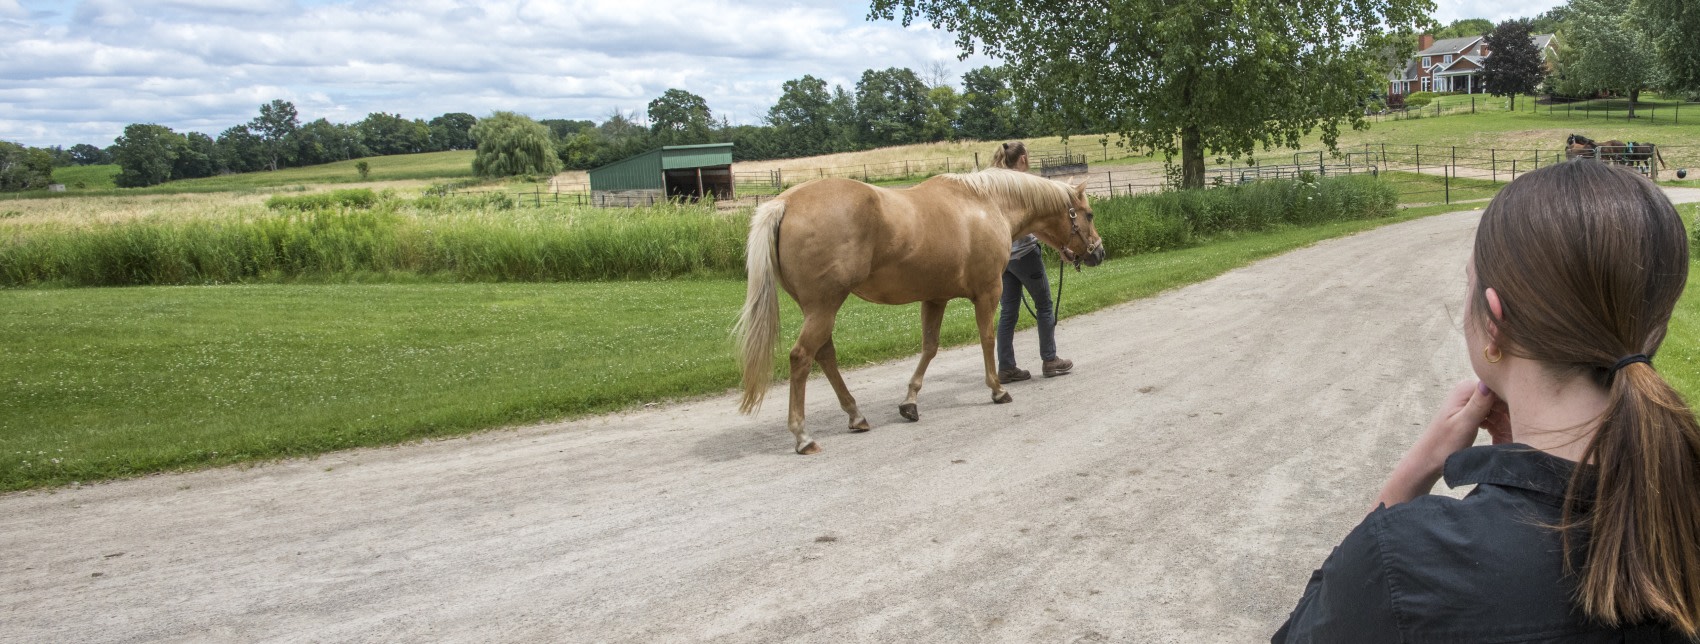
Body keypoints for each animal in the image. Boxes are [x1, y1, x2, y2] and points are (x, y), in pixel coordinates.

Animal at [734, 169, 1108, 455]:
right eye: (1088, 214)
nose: (1098, 253)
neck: (987, 205)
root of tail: (785, 202)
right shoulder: (988, 293)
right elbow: (988, 339)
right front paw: (998, 389)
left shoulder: (935, 298)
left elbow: (929, 348)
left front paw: (910, 402)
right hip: (824, 306)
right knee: (801, 357)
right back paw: (802, 436)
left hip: (818, 309)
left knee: (825, 355)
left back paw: (856, 416)